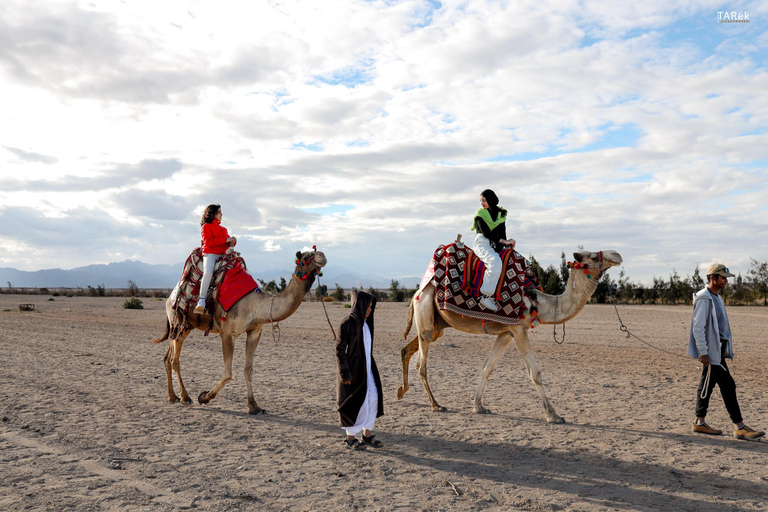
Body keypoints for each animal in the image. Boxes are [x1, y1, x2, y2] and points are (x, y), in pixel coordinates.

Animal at [153, 250, 328, 414]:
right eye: (306, 257)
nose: (322, 256)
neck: (255, 305)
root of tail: (169, 297)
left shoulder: (254, 332)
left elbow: (248, 371)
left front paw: (254, 406)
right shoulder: (228, 333)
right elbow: (228, 373)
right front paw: (204, 397)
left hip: (184, 326)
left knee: (167, 358)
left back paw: (172, 396)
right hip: (178, 322)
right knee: (175, 359)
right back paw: (185, 397)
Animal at [400, 249, 620, 424]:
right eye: (593, 255)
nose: (617, 255)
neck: (539, 303)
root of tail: (417, 292)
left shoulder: (506, 333)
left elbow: (487, 368)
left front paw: (478, 406)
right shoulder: (519, 330)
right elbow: (535, 374)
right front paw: (553, 415)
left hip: (435, 325)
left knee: (406, 350)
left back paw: (401, 391)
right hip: (425, 315)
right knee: (421, 365)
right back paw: (435, 404)